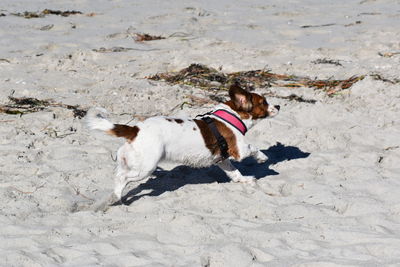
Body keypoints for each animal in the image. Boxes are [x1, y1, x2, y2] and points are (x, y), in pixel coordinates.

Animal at [86, 84, 280, 207]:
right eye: (263, 102)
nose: (278, 105)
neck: (232, 117)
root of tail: (135, 129)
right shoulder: (239, 150)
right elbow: (254, 148)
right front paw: (263, 158)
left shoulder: (223, 160)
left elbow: (235, 173)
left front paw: (245, 180)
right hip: (145, 168)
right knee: (122, 178)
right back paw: (117, 197)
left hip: (130, 162)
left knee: (118, 176)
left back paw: (113, 197)